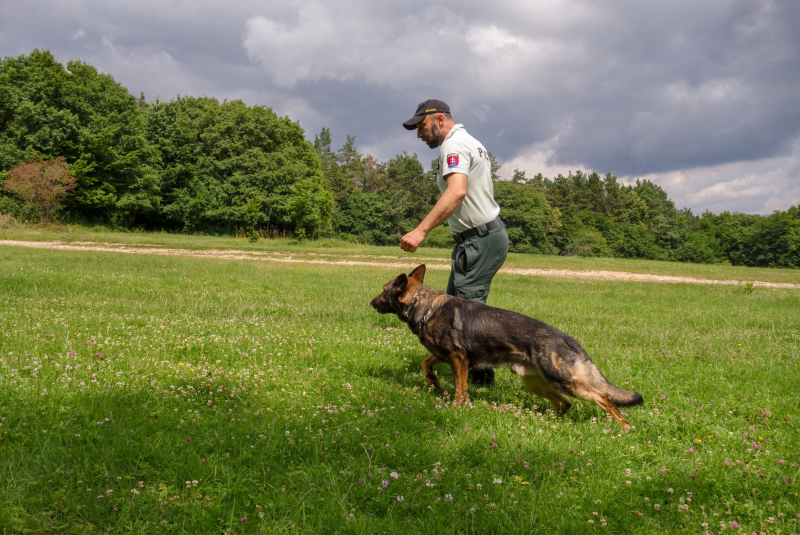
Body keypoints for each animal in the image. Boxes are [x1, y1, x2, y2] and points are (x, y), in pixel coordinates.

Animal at [370, 266, 644, 434]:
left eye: (383, 291)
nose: (370, 302)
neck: (424, 306)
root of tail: (567, 339)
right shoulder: (445, 355)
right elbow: (426, 362)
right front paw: (432, 381)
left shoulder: (458, 359)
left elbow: (460, 389)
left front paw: (457, 407)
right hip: (536, 382)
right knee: (565, 403)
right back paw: (549, 422)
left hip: (564, 381)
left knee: (604, 397)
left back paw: (624, 428)